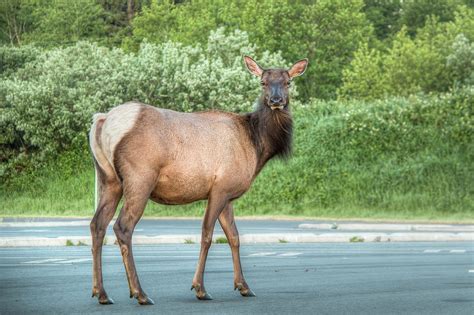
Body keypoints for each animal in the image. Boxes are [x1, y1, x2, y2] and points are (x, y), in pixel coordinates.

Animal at [90, 55, 308, 304]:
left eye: (288, 82)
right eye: (263, 82)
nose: (276, 100)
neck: (256, 146)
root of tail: (103, 121)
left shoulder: (228, 194)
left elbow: (234, 236)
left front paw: (243, 286)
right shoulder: (220, 188)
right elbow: (207, 235)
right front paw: (200, 288)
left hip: (109, 179)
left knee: (97, 224)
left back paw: (101, 293)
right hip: (140, 177)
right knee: (122, 226)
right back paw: (140, 293)